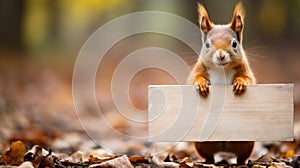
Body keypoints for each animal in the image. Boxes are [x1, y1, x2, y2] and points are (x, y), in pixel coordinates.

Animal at [188, 1, 255, 164]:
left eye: (234, 43)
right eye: (206, 44)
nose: (221, 56)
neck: (221, 70)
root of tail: (224, 146)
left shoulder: (246, 71)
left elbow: (248, 79)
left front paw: (240, 83)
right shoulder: (197, 70)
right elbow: (194, 79)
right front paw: (201, 84)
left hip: (247, 144)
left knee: (241, 157)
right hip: (201, 144)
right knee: (209, 155)